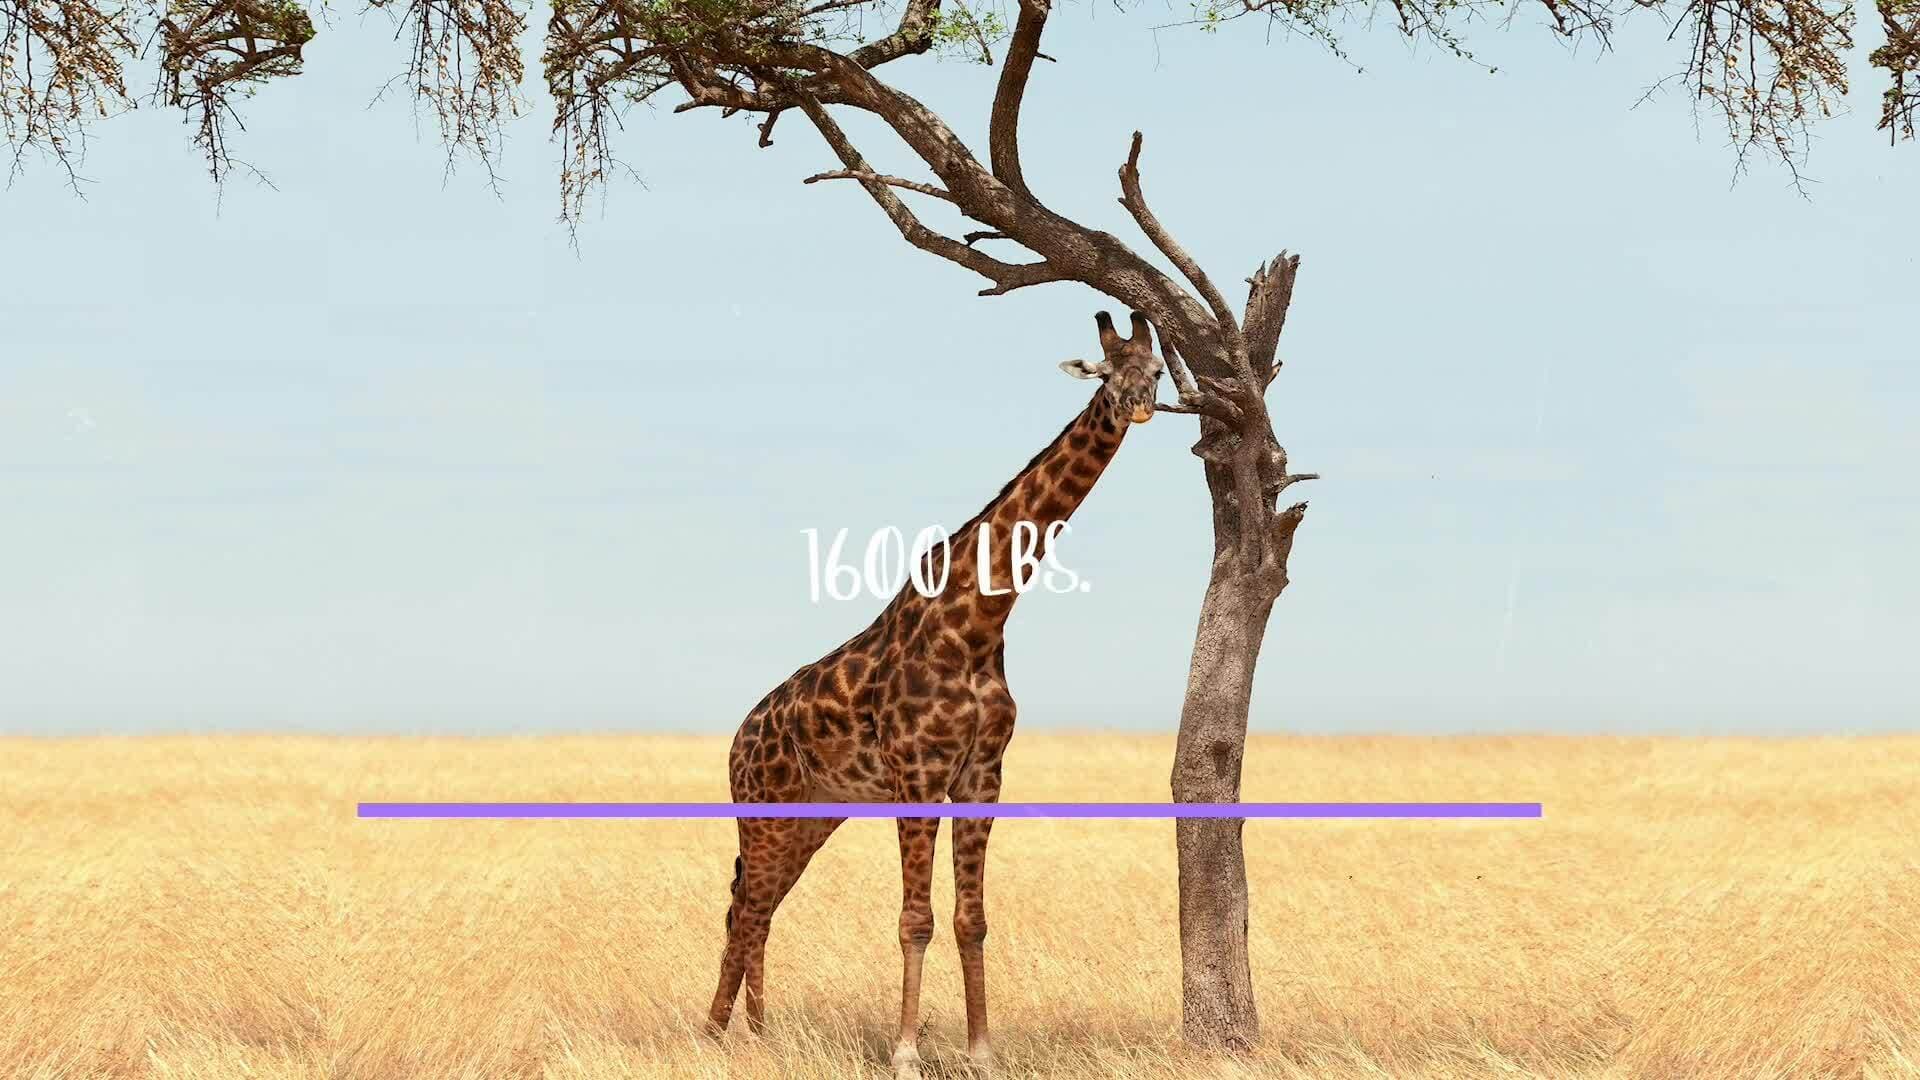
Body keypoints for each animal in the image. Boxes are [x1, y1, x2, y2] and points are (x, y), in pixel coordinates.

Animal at [706, 310, 1166, 1077]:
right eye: (1106, 371)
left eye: (1157, 370)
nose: (1137, 406)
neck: (980, 621)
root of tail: (740, 737)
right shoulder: (918, 771)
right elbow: (914, 919)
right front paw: (906, 1053)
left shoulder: (982, 773)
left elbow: (970, 918)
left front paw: (981, 1049)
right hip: (763, 807)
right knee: (746, 905)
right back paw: (716, 1034)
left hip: (812, 816)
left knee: (757, 906)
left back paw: (757, 1034)